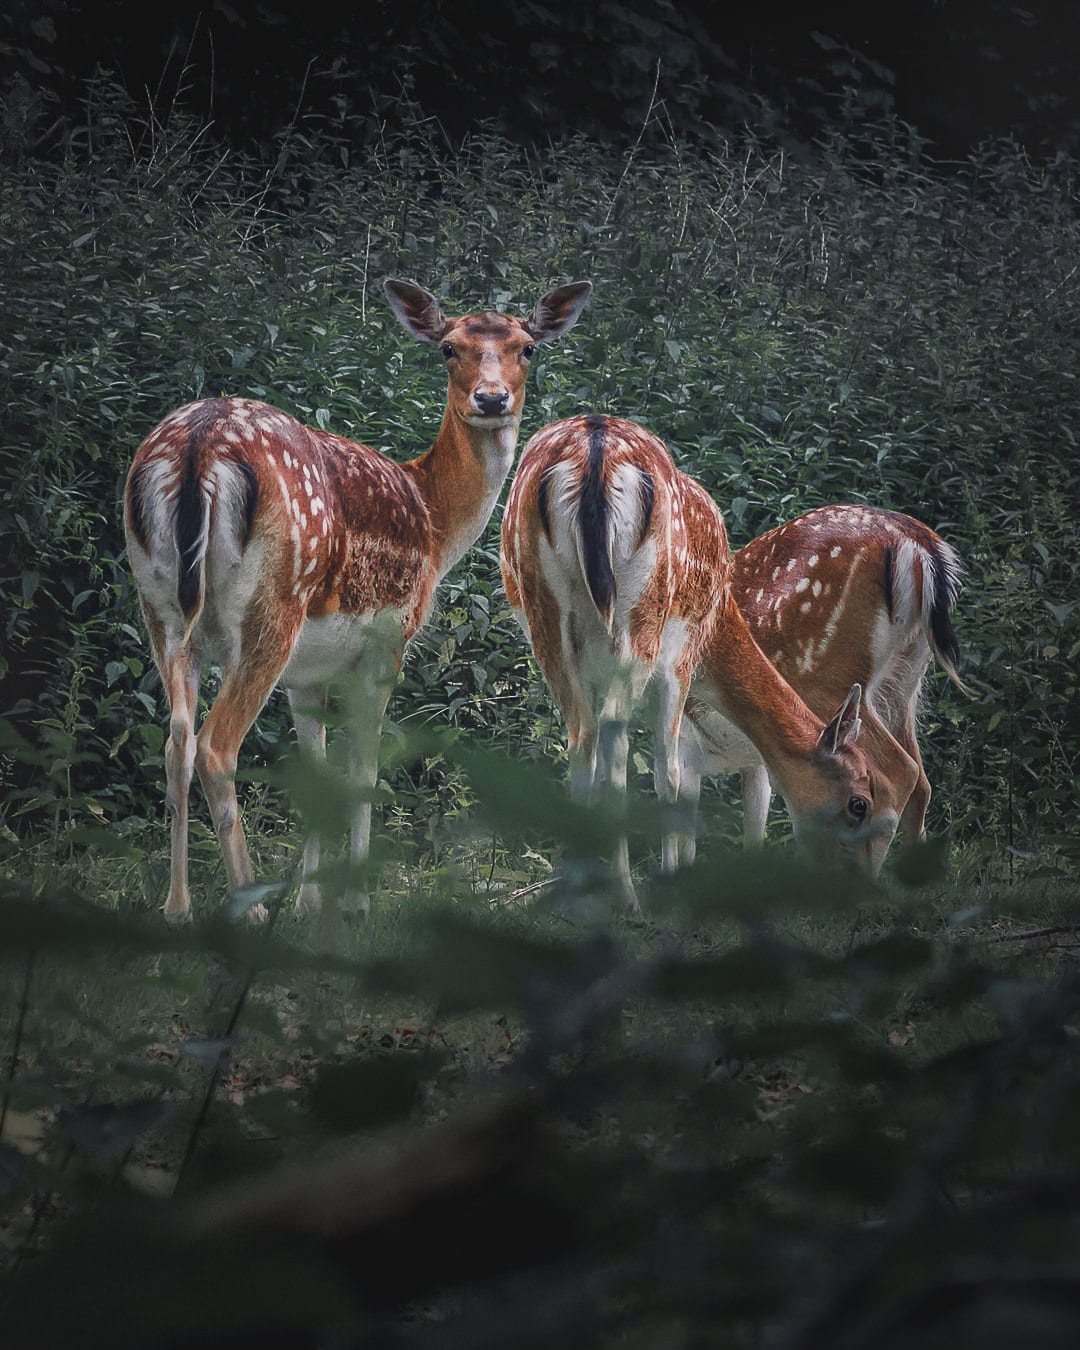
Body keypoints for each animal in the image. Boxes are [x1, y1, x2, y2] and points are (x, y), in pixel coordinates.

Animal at [124, 274, 591, 918]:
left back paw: (177, 908)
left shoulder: (309, 671)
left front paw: (309, 901)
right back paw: (250, 906)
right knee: (217, 748)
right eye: (448, 348)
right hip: (274, 605)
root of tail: (198, 448)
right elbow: (364, 768)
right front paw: (354, 901)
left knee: (177, 745)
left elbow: (316, 771)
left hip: (161, 610)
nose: (493, 399)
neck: (434, 521)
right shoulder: (388, 637)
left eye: (526, 347)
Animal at [499, 413, 918, 907]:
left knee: (582, 739)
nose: (857, 885)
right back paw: (627, 896)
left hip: (544, 616)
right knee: (617, 745)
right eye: (859, 802)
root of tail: (593, 451)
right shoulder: (681, 656)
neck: (719, 626)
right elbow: (672, 779)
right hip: (643, 618)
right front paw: (673, 879)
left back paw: (574, 890)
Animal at [680, 502, 966, 869]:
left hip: (828, 677)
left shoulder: (685, 747)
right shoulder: (755, 764)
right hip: (903, 685)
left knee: (901, 771)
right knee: (922, 785)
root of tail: (920, 544)